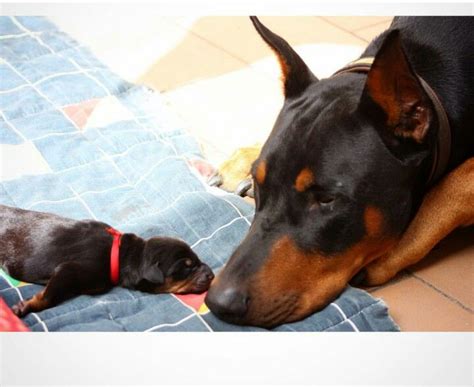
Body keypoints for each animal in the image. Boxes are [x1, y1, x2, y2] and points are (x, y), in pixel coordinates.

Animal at [0, 205, 214, 316]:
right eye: (186, 267)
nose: (212, 275)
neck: (126, 255)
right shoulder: (68, 270)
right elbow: (48, 296)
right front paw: (25, 306)